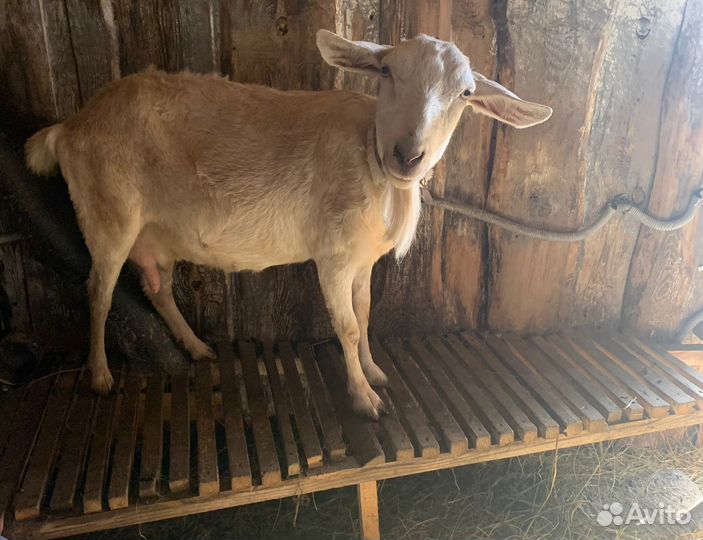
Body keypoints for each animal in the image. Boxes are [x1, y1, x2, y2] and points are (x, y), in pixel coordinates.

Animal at [25, 30, 551, 418]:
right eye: (386, 71)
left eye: (466, 94)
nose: (408, 154)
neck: (371, 160)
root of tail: (69, 128)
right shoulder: (333, 256)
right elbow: (347, 325)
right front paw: (365, 399)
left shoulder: (363, 260)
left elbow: (365, 313)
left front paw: (374, 372)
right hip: (107, 210)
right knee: (98, 290)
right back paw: (100, 376)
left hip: (156, 232)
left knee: (157, 288)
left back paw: (197, 348)